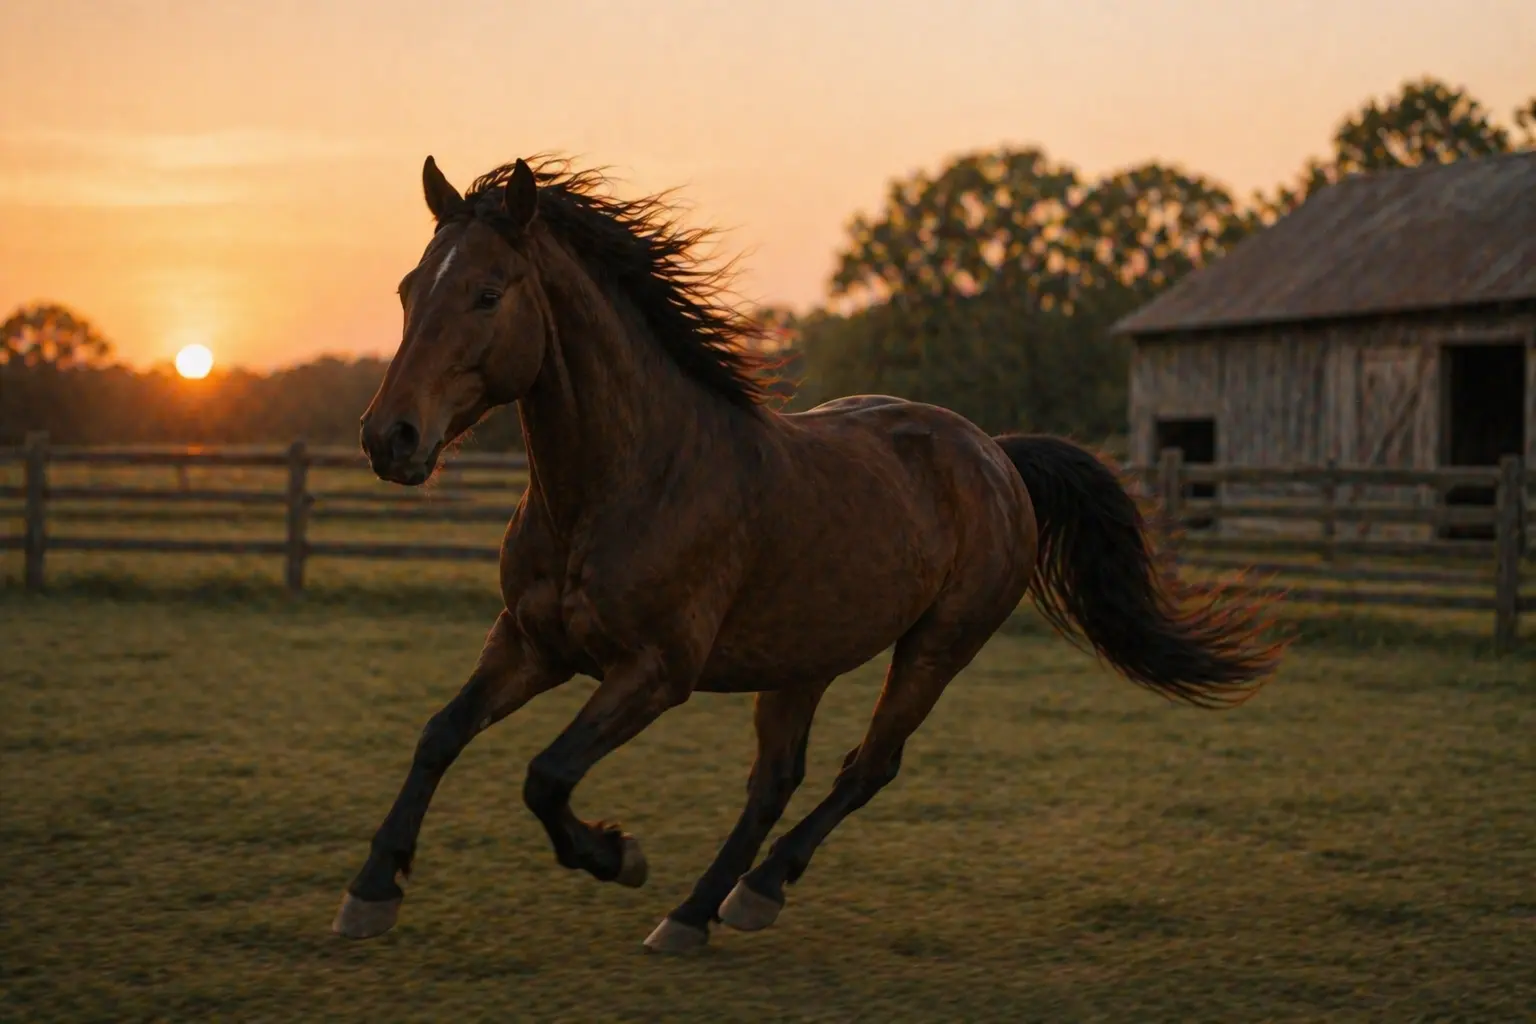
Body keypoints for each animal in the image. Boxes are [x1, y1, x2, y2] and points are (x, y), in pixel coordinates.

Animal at [333, 154, 1286, 954]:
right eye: (410, 287)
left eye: (489, 293)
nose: (390, 438)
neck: (626, 482)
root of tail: (996, 454)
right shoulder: (530, 644)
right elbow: (439, 735)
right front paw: (372, 891)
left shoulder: (654, 671)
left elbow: (546, 775)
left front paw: (618, 855)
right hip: (803, 659)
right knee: (776, 779)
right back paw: (694, 914)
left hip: (937, 647)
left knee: (866, 767)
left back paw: (750, 894)